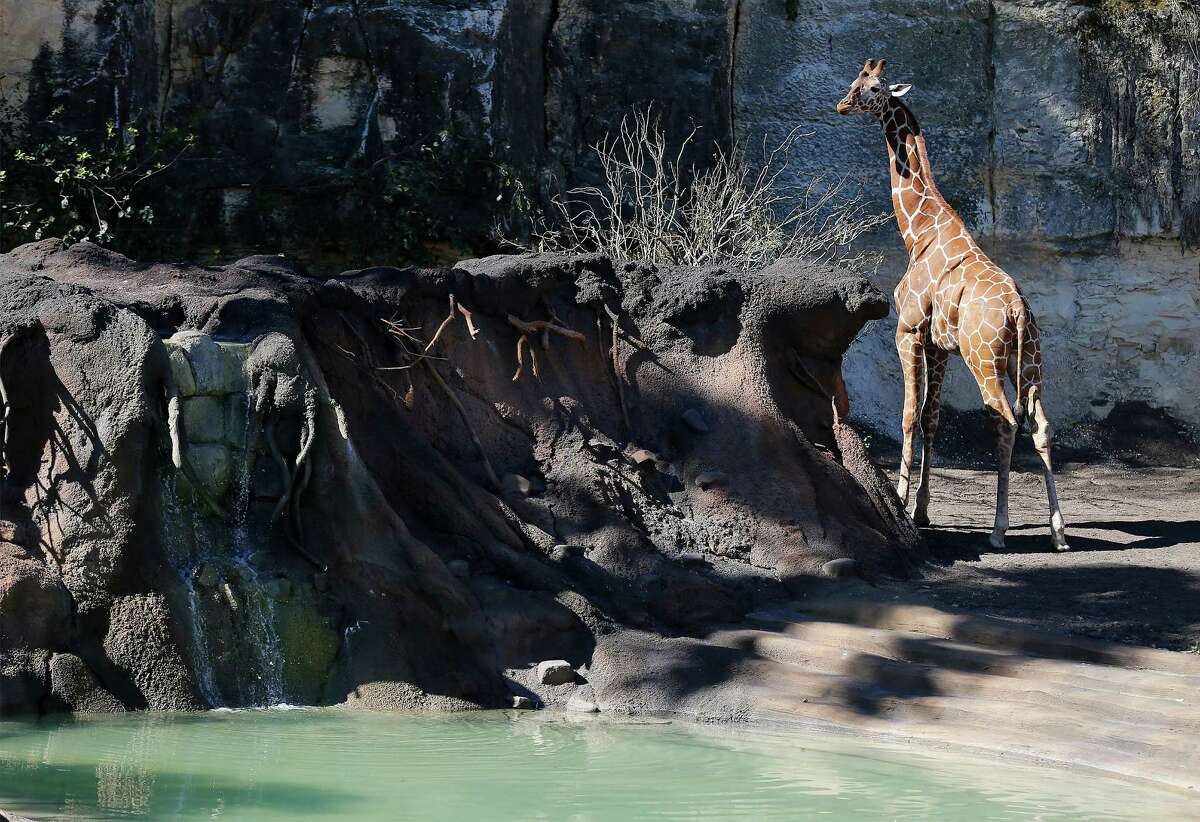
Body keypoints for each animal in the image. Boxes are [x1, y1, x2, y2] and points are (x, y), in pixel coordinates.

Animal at [836, 59, 1069, 552]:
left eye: (874, 88)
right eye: (854, 82)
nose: (842, 104)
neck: (919, 230)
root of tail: (1019, 310)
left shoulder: (906, 332)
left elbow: (907, 416)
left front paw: (902, 502)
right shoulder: (939, 345)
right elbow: (932, 418)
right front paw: (922, 511)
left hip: (984, 361)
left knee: (1006, 421)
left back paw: (999, 530)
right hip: (1029, 362)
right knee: (1040, 425)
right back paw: (1059, 532)